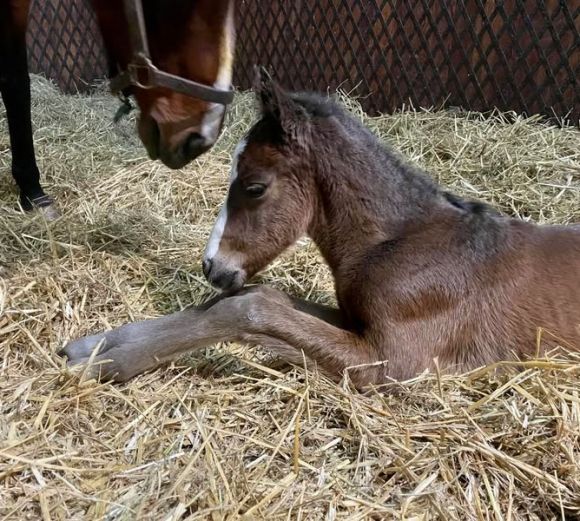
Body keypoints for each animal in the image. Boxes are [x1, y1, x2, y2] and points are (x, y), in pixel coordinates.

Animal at [62, 70, 580, 386]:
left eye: (254, 187)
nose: (211, 266)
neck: (401, 243)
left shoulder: (395, 363)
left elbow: (251, 309)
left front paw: (110, 359)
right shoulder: (353, 321)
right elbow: (262, 300)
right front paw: (97, 344)